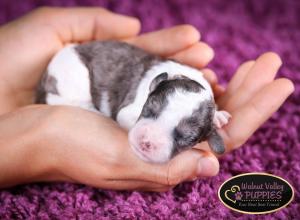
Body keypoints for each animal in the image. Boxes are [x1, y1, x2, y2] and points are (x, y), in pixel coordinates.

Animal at [36, 40, 231, 163]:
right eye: (149, 109)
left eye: (186, 138)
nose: (147, 142)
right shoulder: (128, 110)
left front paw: (218, 116)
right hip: (74, 77)